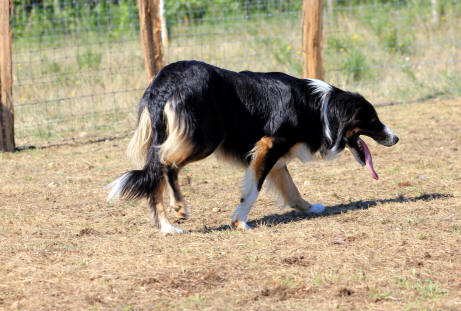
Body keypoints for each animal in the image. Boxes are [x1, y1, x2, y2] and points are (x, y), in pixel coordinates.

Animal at [106, 61, 398, 235]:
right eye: (373, 119)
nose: (395, 138)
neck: (319, 108)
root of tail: (165, 81)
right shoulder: (269, 145)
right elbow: (253, 190)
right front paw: (240, 222)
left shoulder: (277, 157)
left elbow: (292, 189)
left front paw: (308, 208)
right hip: (204, 139)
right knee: (166, 166)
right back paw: (178, 208)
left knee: (154, 177)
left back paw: (166, 227)